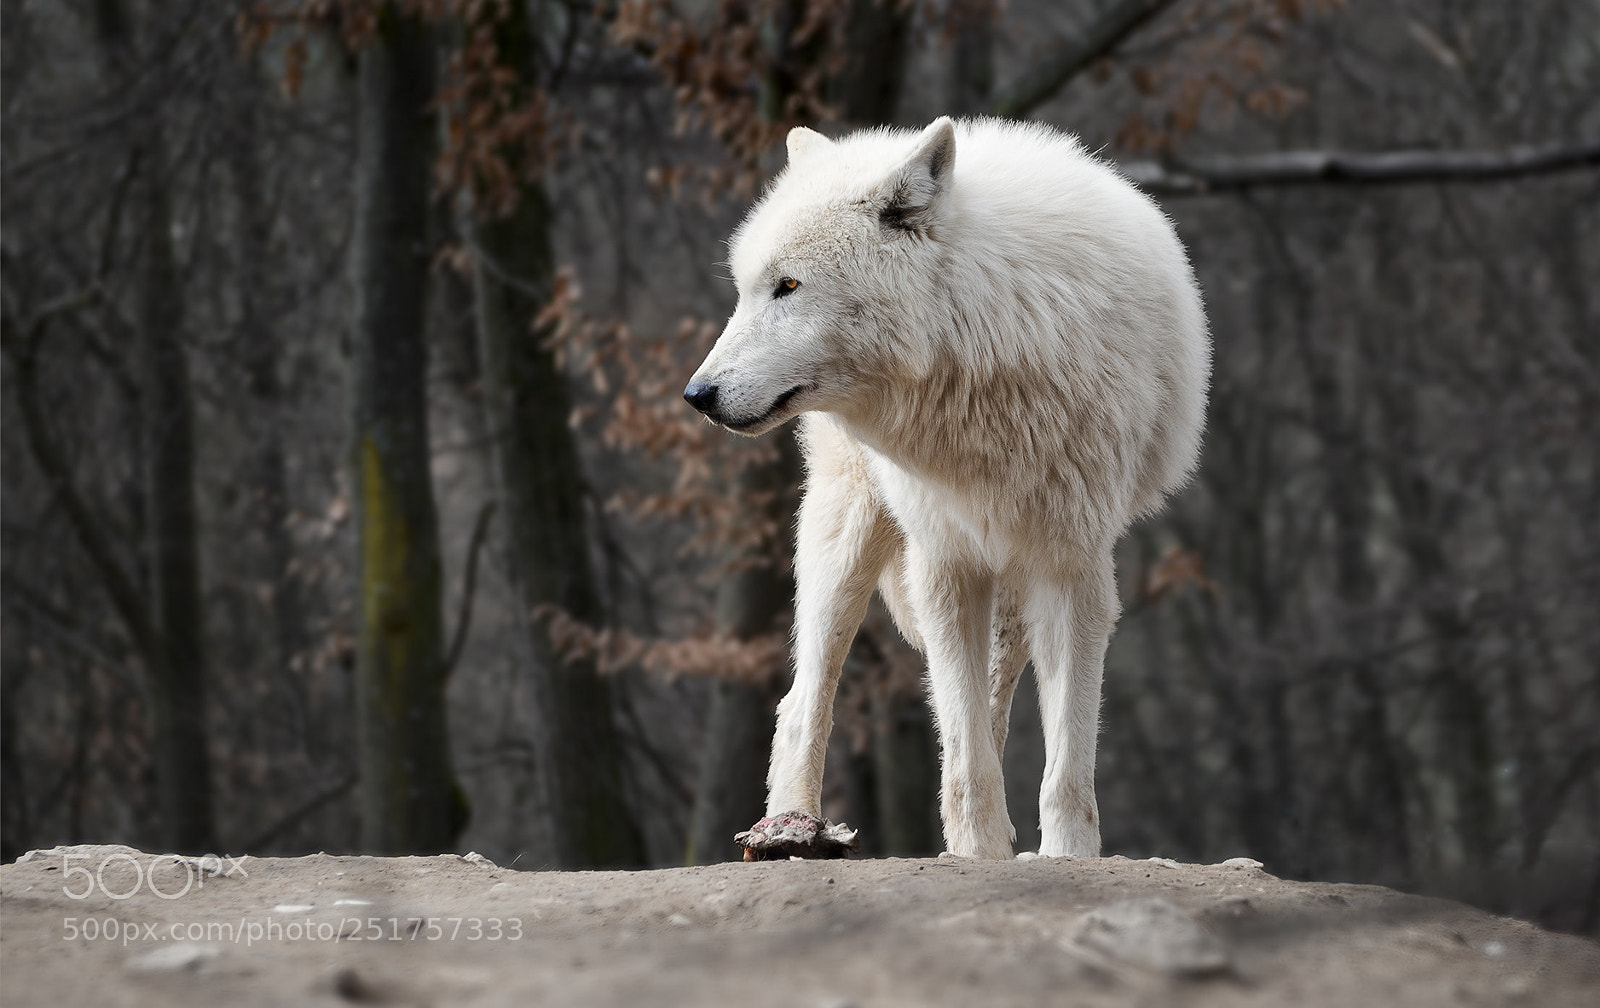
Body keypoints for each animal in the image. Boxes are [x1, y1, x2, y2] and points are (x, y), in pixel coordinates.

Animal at [684, 117, 1209, 859]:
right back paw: (791, 831)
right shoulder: (944, 559)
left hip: (1011, 591)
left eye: (787, 286)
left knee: (990, 699)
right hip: (849, 535)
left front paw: (1064, 855)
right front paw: (977, 852)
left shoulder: (1071, 563)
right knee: (802, 700)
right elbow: (962, 747)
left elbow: (1065, 753)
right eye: (746, 289)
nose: (698, 394)